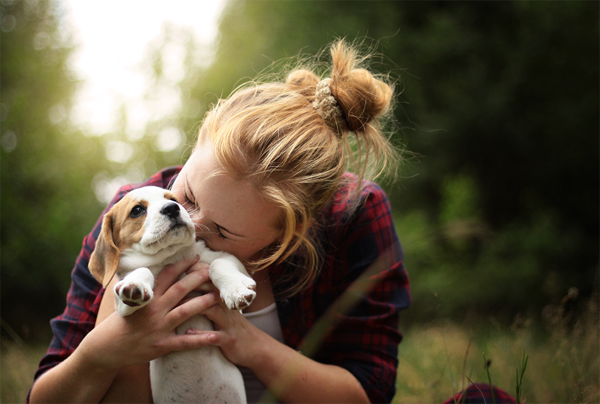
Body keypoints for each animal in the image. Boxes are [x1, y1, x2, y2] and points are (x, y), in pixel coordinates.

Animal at [88, 186, 252, 404]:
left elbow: (217, 264)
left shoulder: (229, 259)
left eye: (174, 199)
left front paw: (236, 290)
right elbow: (142, 272)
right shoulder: (121, 306)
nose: (172, 208)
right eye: (137, 210)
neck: (171, 256)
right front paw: (135, 285)